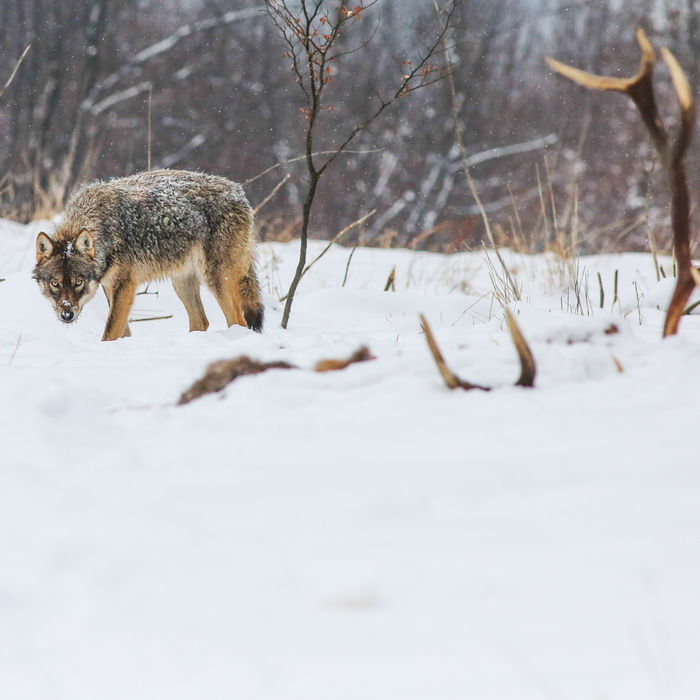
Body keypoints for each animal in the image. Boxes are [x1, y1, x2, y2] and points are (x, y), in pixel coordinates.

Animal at [33, 169, 263, 341]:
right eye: (55, 284)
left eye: (78, 282)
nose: (67, 315)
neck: (102, 226)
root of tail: (238, 191)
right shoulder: (110, 287)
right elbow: (121, 331)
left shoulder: (125, 286)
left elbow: (109, 332)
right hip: (182, 283)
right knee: (202, 321)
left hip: (216, 280)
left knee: (238, 321)